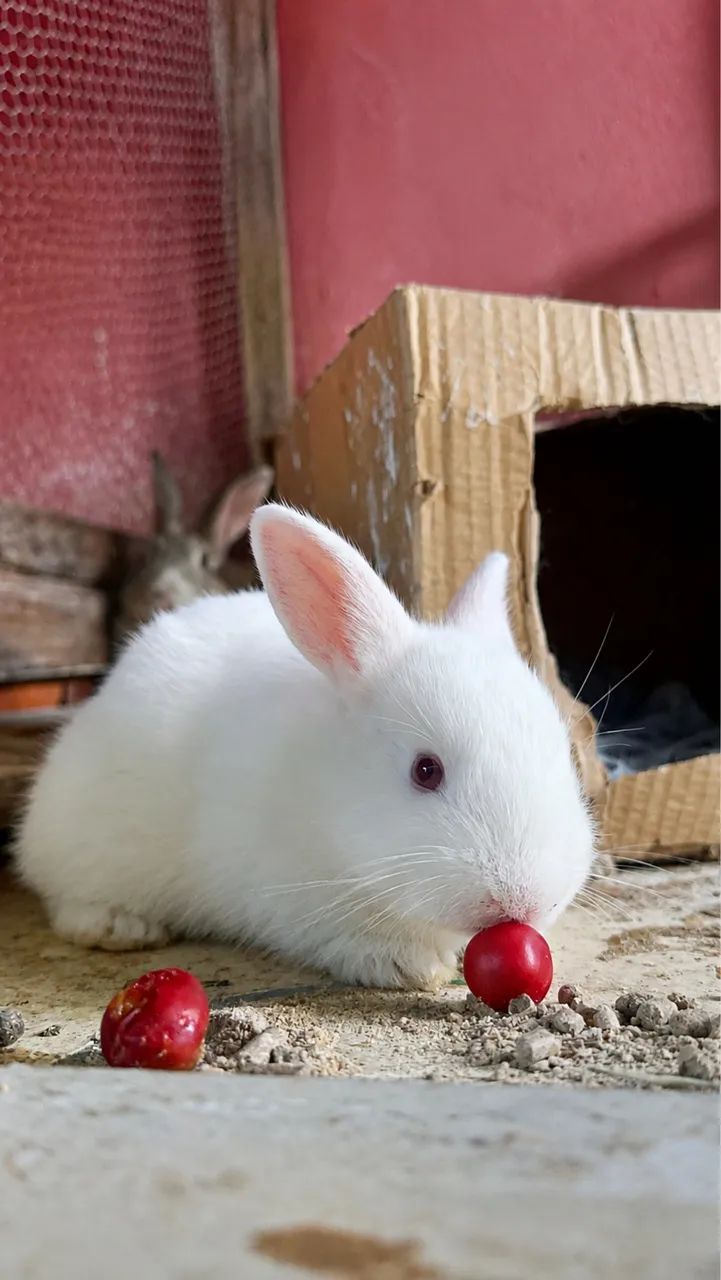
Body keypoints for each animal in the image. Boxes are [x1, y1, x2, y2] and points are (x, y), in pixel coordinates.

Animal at [16, 504, 595, 990]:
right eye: (425, 770)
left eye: (565, 756)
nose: (525, 899)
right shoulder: (278, 893)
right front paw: (409, 965)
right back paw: (118, 927)